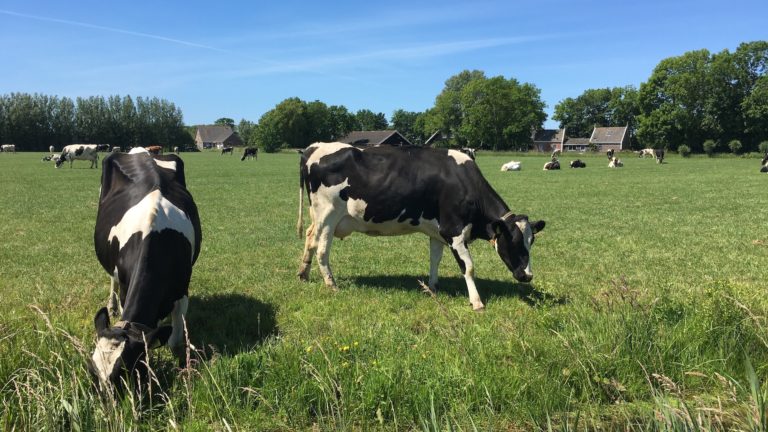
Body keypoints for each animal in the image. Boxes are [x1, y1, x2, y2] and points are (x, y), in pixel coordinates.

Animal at [89, 147, 202, 386]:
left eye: (125, 371)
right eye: (91, 370)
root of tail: (142, 150)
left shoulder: (182, 291)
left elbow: (174, 340)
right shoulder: (125, 286)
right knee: (111, 278)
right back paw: (111, 305)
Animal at [296, 143, 544, 310]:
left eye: (531, 241)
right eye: (513, 242)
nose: (527, 276)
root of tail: (314, 147)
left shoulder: (438, 232)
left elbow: (435, 259)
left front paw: (433, 288)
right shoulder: (454, 232)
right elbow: (469, 268)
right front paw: (476, 302)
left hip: (317, 216)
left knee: (309, 238)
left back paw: (303, 274)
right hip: (328, 215)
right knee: (322, 250)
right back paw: (331, 284)